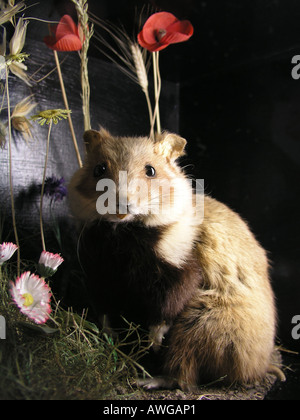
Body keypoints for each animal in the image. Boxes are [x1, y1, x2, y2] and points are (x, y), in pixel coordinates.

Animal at [69, 128, 284, 390]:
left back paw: (146, 380)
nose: (121, 205)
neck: (125, 233)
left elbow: (167, 308)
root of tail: (259, 368)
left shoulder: (181, 270)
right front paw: (110, 333)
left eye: (151, 170)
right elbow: (104, 310)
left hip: (197, 325)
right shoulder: (100, 273)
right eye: (99, 169)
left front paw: (153, 342)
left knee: (183, 375)